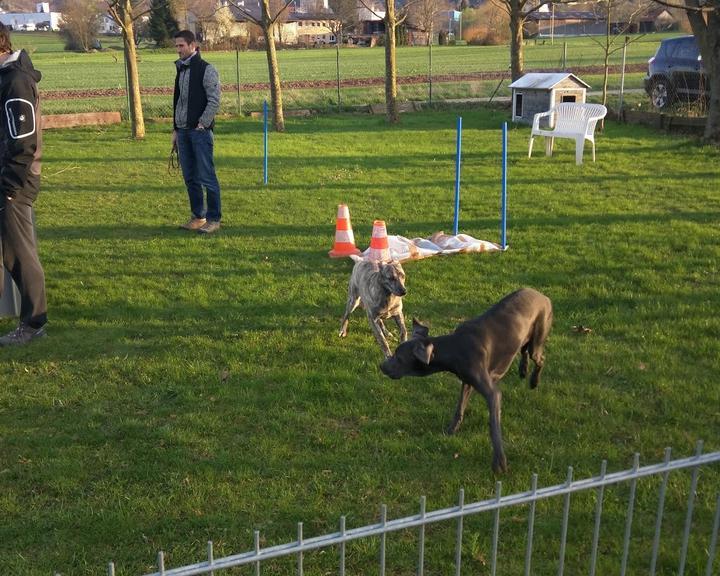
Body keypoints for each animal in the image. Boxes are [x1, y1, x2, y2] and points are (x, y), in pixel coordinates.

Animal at [380, 288, 556, 472]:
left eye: (399, 358)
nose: (381, 366)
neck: (455, 348)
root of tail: (544, 296)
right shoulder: (467, 381)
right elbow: (460, 408)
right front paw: (451, 430)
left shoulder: (492, 393)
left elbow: (494, 425)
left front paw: (499, 461)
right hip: (524, 338)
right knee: (524, 351)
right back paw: (523, 370)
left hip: (538, 339)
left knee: (539, 358)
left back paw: (534, 381)